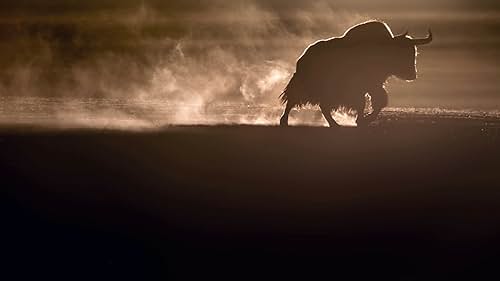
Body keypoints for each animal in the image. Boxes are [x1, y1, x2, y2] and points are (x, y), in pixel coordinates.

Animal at [280, 20, 432, 127]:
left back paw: (335, 125)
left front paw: (364, 120)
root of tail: (304, 56)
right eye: (400, 53)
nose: (412, 75)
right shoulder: (360, 88)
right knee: (293, 100)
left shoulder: (373, 86)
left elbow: (379, 101)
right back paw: (284, 121)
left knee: (321, 106)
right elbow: (363, 103)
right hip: (306, 87)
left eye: (414, 52)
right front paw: (362, 120)